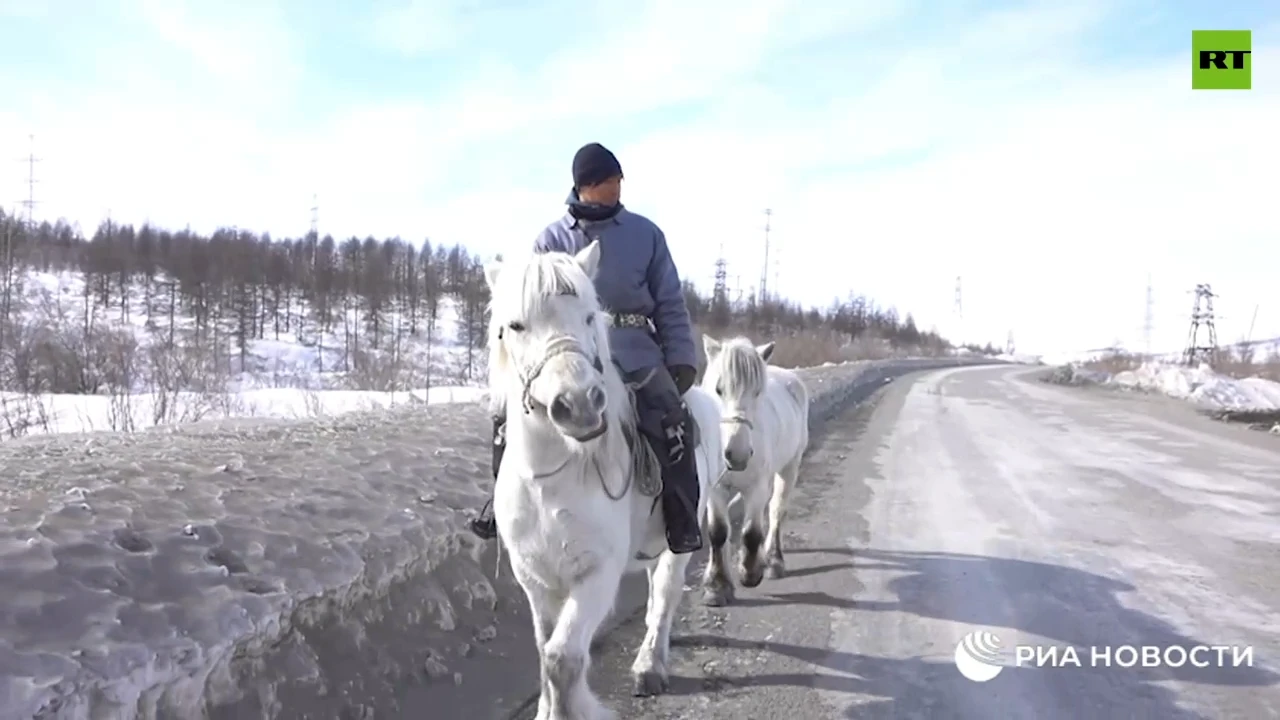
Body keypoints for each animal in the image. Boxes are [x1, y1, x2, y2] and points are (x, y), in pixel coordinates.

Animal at [483, 242, 727, 717]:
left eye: (589, 317)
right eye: (516, 326)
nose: (579, 404)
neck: (550, 481)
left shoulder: (597, 574)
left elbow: (562, 660)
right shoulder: (535, 580)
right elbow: (544, 650)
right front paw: (545, 709)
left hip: (681, 542)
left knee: (664, 597)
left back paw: (651, 665)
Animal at [701, 333, 808, 602]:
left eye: (758, 392)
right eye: (718, 389)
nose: (736, 455)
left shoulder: (757, 486)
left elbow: (751, 532)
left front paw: (749, 573)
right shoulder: (715, 489)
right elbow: (718, 531)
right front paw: (717, 586)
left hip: (790, 466)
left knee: (776, 510)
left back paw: (773, 562)